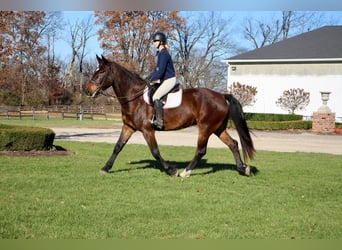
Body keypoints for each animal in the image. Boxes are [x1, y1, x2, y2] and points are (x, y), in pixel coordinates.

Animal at [83, 55, 254, 178]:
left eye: (102, 72)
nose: (87, 90)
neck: (134, 97)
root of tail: (221, 96)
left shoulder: (147, 130)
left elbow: (155, 152)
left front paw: (171, 170)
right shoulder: (128, 127)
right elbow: (118, 147)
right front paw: (105, 168)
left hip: (205, 128)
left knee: (201, 150)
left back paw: (185, 172)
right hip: (218, 128)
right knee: (233, 144)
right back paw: (242, 168)